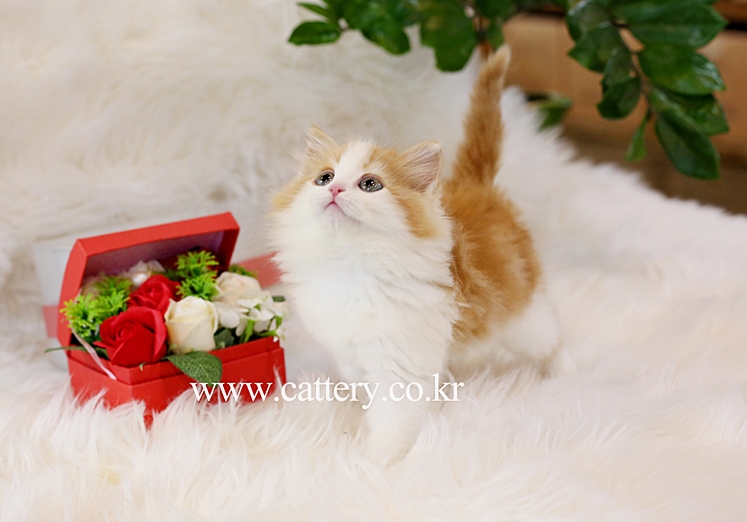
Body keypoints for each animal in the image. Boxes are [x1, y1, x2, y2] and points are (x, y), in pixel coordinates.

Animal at [269, 48, 564, 461]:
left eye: (370, 184)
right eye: (324, 178)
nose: (335, 190)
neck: (352, 265)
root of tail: (477, 187)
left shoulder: (400, 359)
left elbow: (393, 420)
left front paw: (371, 461)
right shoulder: (349, 347)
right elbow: (364, 387)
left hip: (520, 313)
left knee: (550, 334)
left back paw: (564, 371)